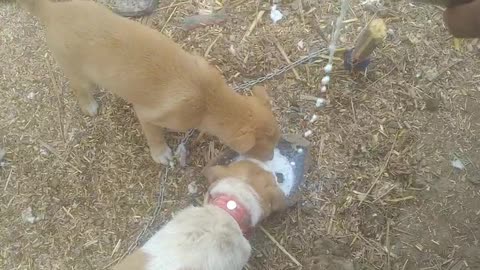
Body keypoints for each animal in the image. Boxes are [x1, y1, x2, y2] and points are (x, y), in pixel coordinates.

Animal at [17, 0, 282, 165]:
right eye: (260, 149)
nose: (271, 159)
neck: (208, 98)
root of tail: (50, 11)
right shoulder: (148, 115)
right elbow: (155, 137)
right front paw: (161, 154)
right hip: (75, 69)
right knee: (79, 87)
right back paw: (88, 104)